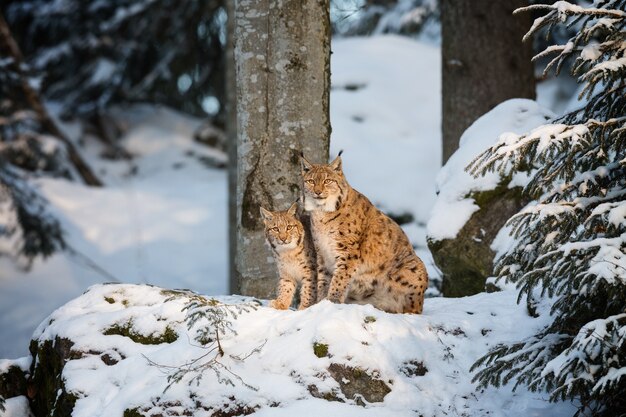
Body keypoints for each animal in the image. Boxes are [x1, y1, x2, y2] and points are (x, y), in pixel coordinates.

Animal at [300, 152, 426, 312]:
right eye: (311, 181)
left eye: (327, 181)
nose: (318, 192)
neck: (322, 212)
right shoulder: (322, 252)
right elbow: (324, 279)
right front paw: (320, 304)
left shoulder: (348, 252)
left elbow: (339, 279)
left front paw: (332, 302)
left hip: (415, 267)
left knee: (415, 310)